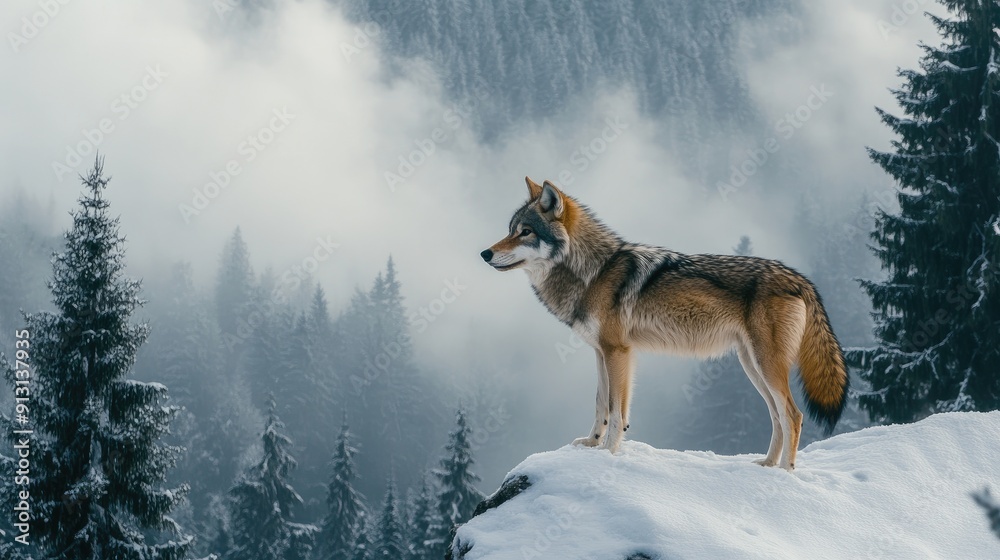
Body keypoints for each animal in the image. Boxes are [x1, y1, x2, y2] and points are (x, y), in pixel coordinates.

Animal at [480, 178, 849, 470]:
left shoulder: (619, 352)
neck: (594, 271)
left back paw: (784, 472)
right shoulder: (600, 353)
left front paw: (608, 453)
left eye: (525, 232)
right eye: (510, 230)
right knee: (777, 416)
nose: (485, 253)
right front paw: (592, 444)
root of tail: (799, 277)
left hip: (766, 366)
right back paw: (767, 466)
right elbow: (600, 404)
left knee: (793, 416)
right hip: (752, 366)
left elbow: (617, 411)